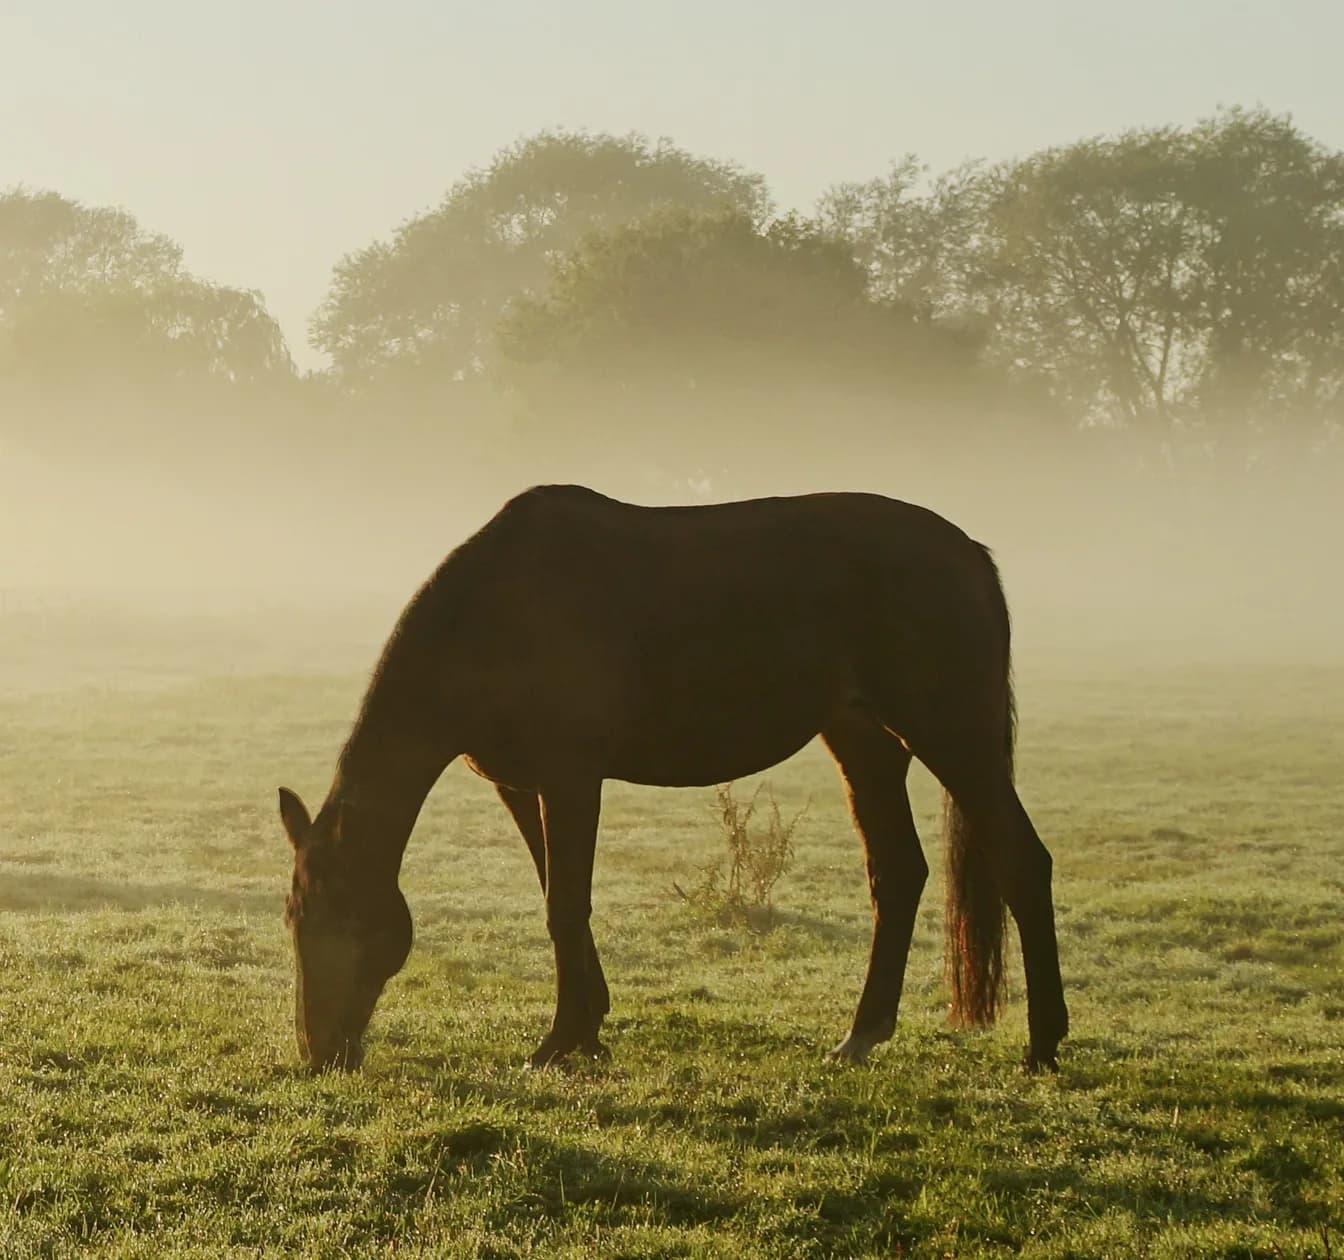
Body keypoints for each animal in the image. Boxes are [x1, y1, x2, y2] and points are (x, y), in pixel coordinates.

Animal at [278, 485, 1068, 1073]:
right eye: (293, 918)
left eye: (339, 915)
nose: (321, 1053)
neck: (494, 615)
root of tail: (971, 554)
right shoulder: (523, 785)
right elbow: (556, 893)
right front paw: (588, 1030)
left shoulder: (571, 778)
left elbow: (565, 904)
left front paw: (559, 1041)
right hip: (864, 742)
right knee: (898, 874)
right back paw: (861, 1035)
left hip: (953, 738)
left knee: (1022, 862)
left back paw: (1043, 1044)